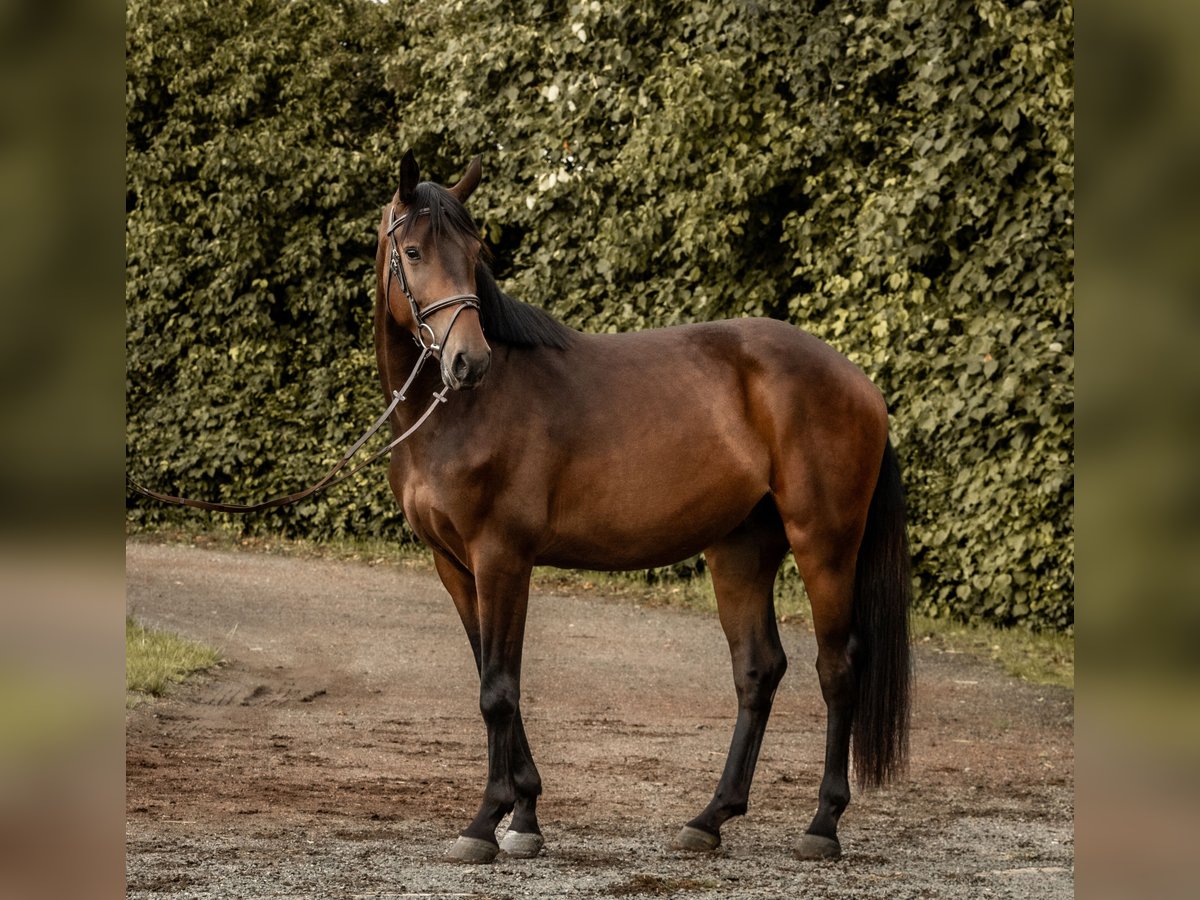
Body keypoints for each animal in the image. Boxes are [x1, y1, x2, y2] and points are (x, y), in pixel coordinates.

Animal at [374, 154, 907, 868]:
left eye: (476, 251)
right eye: (413, 252)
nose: (469, 361)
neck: (461, 414)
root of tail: (862, 384)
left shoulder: (502, 558)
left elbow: (499, 691)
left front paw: (486, 822)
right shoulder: (454, 565)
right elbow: (492, 678)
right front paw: (524, 816)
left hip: (824, 543)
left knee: (838, 667)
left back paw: (822, 824)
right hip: (741, 549)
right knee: (758, 670)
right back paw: (710, 818)